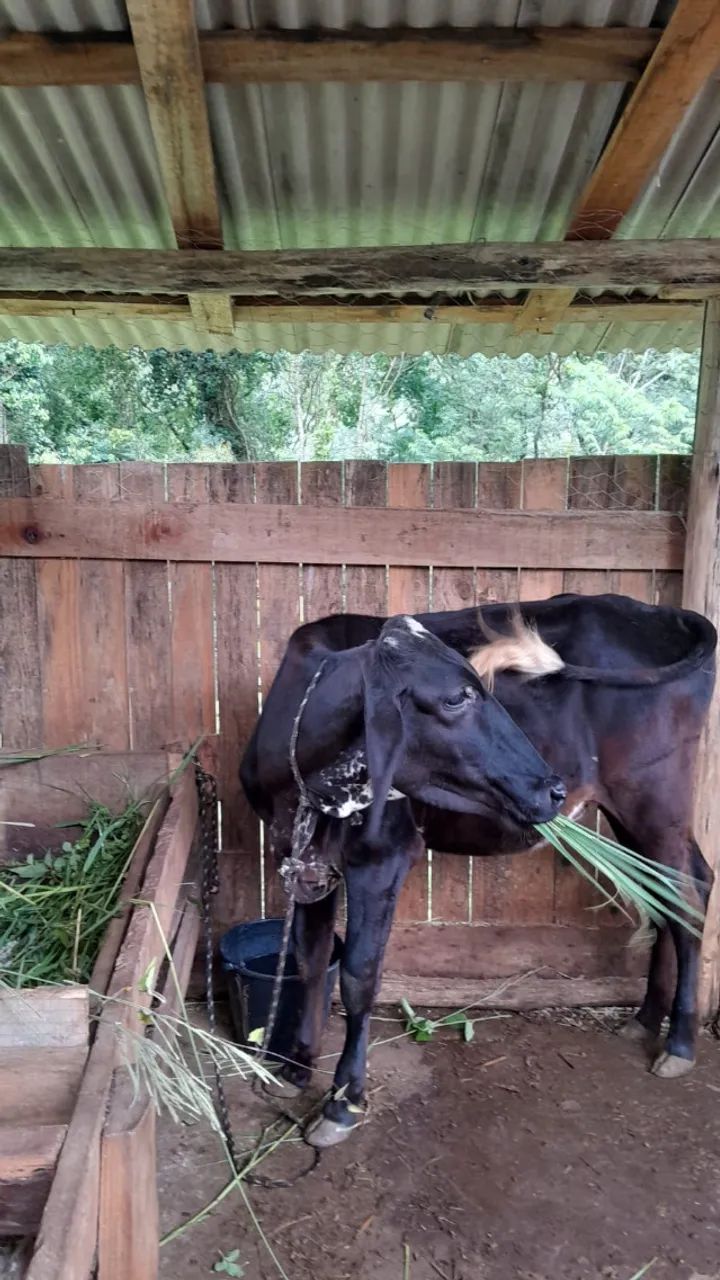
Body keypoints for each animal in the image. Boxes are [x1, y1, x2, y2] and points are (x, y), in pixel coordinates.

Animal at [240, 593, 716, 1148]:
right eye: (455, 699)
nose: (552, 789)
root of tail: (660, 612)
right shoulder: (304, 859)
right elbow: (312, 960)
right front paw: (296, 1067)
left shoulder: (382, 856)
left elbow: (359, 976)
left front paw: (343, 1101)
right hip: (635, 812)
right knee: (670, 890)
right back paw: (645, 1020)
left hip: (656, 799)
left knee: (688, 894)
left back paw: (679, 1044)